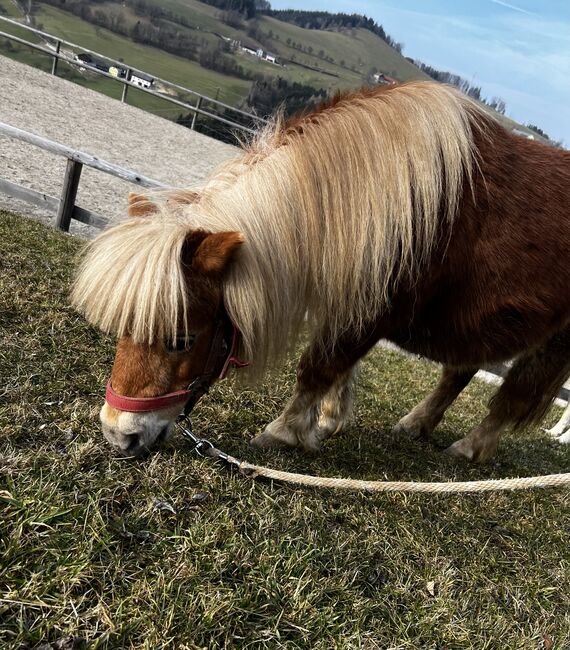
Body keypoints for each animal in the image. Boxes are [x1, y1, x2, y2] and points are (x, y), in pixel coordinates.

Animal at [71, 82, 568, 460]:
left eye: (182, 340)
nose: (118, 434)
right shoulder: (356, 297)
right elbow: (340, 369)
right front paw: (328, 421)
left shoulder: (373, 313)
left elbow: (321, 366)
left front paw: (285, 431)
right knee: (458, 373)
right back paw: (416, 424)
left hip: (554, 341)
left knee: (513, 394)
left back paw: (471, 447)